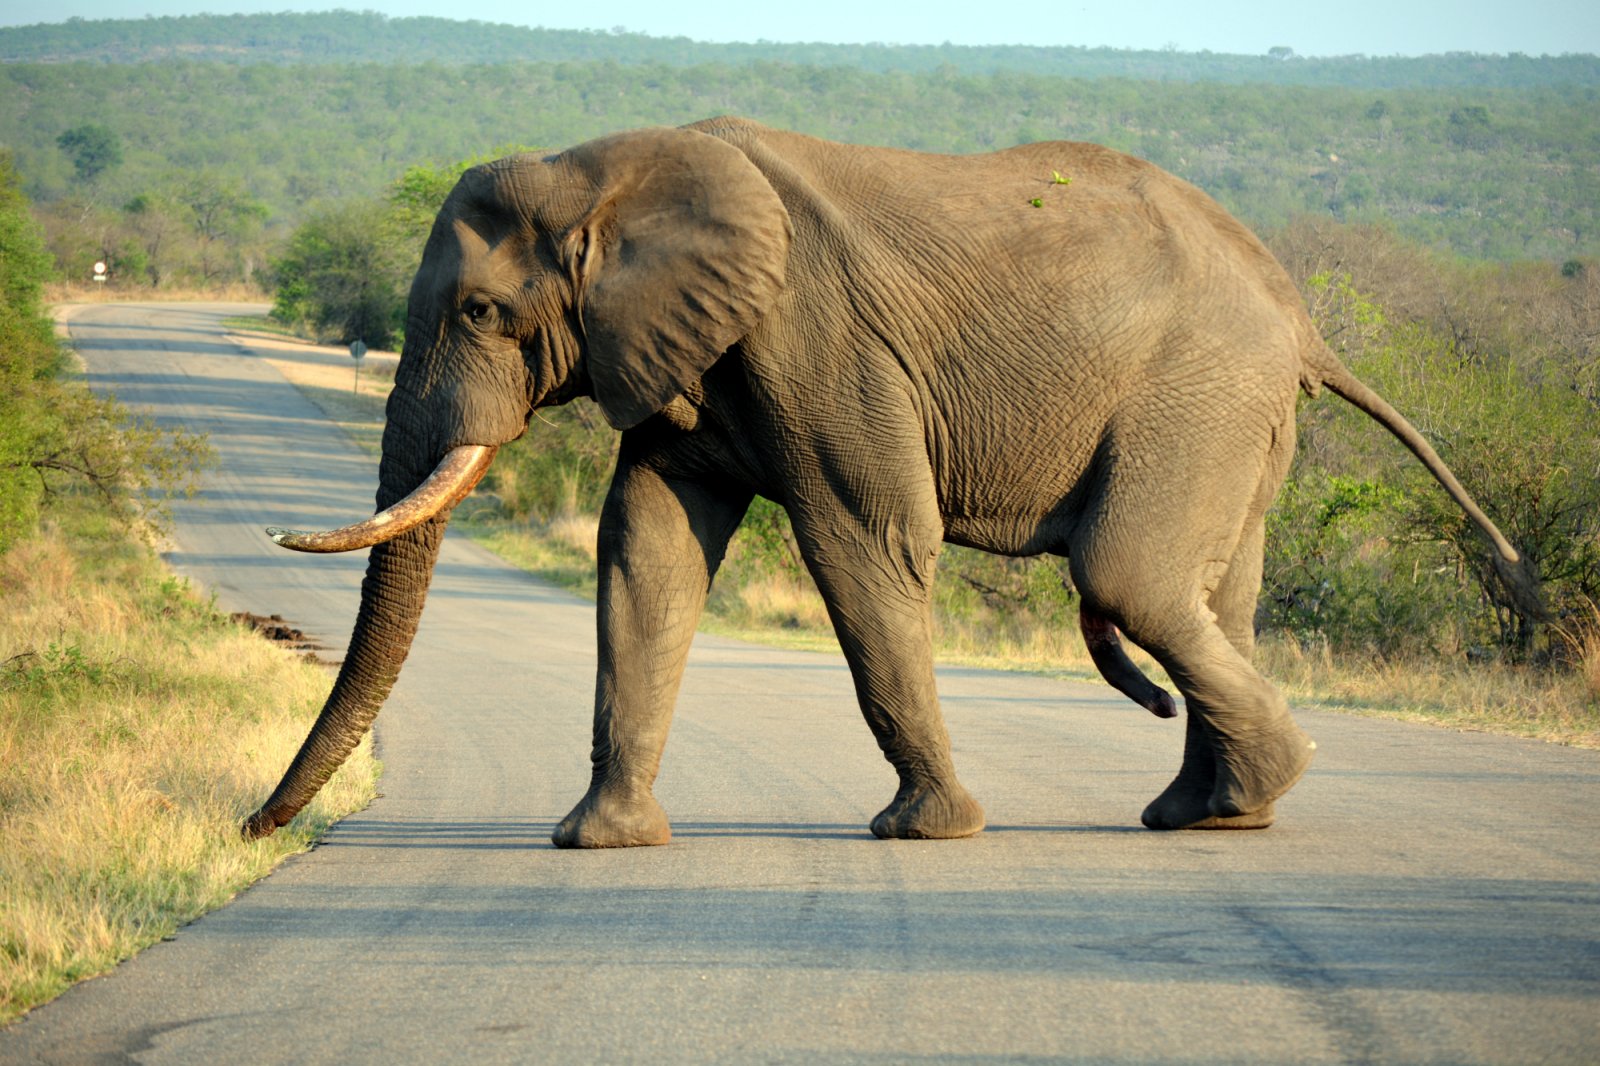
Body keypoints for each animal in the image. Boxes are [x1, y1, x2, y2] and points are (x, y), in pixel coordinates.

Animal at [240, 116, 1536, 845]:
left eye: (478, 312)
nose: (253, 826)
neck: (607, 163)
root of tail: (1300, 315)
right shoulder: (687, 352)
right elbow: (646, 552)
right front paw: (596, 842)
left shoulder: (814, 337)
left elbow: (863, 543)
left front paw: (925, 833)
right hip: (1236, 416)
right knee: (1214, 597)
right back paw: (1210, 811)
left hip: (1201, 389)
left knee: (1130, 577)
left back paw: (1249, 793)